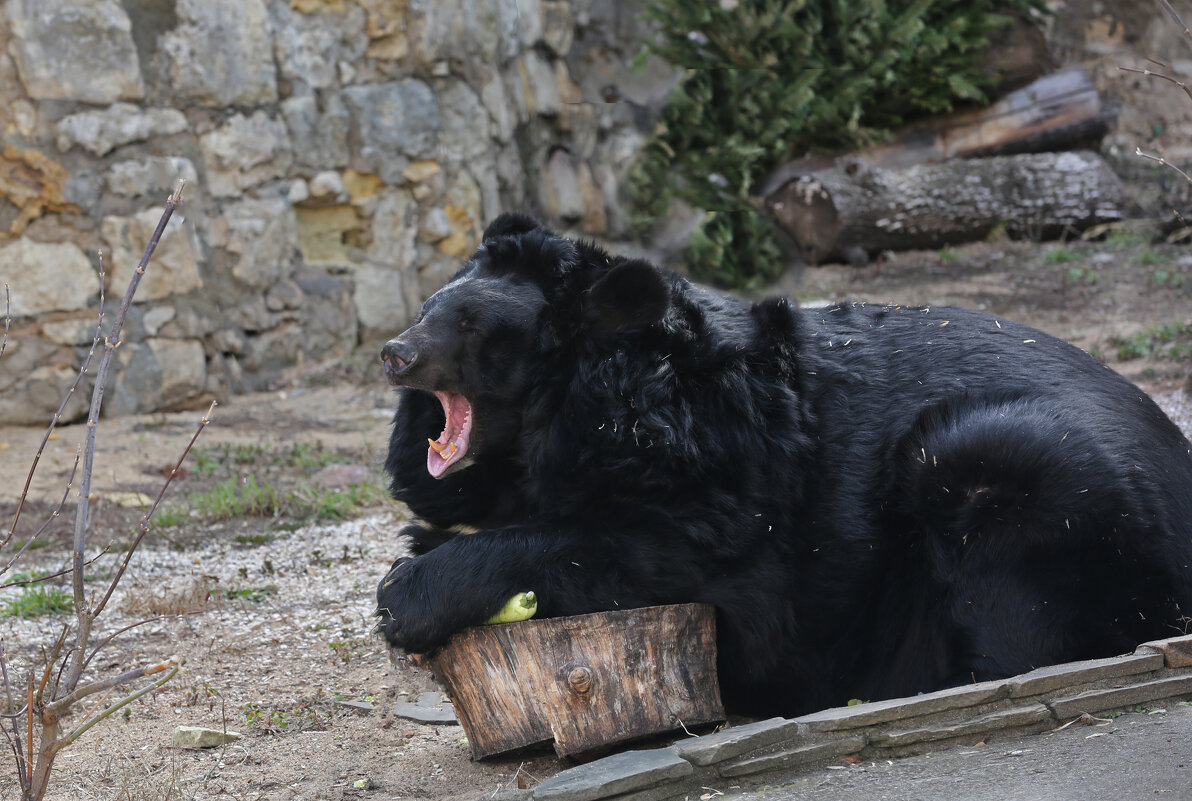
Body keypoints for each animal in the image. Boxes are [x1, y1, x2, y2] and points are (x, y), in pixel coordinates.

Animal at [376, 214, 1192, 719]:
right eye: (426, 308)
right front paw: (424, 538)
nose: (394, 353)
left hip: (1031, 472)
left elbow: (621, 546)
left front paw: (404, 597)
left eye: (472, 329)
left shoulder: (725, 484)